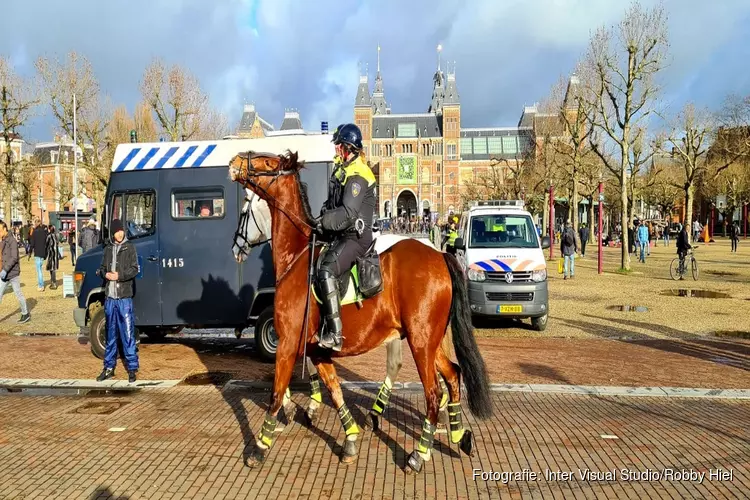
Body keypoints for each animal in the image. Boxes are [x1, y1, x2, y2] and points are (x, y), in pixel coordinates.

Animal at [229, 149, 494, 472]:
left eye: (267, 163)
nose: (235, 161)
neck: (297, 258)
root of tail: (439, 254)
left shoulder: (289, 343)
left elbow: (277, 391)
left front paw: (260, 446)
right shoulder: (315, 350)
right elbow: (334, 391)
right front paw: (350, 438)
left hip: (420, 343)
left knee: (434, 392)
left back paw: (419, 453)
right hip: (429, 342)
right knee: (453, 375)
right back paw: (458, 434)